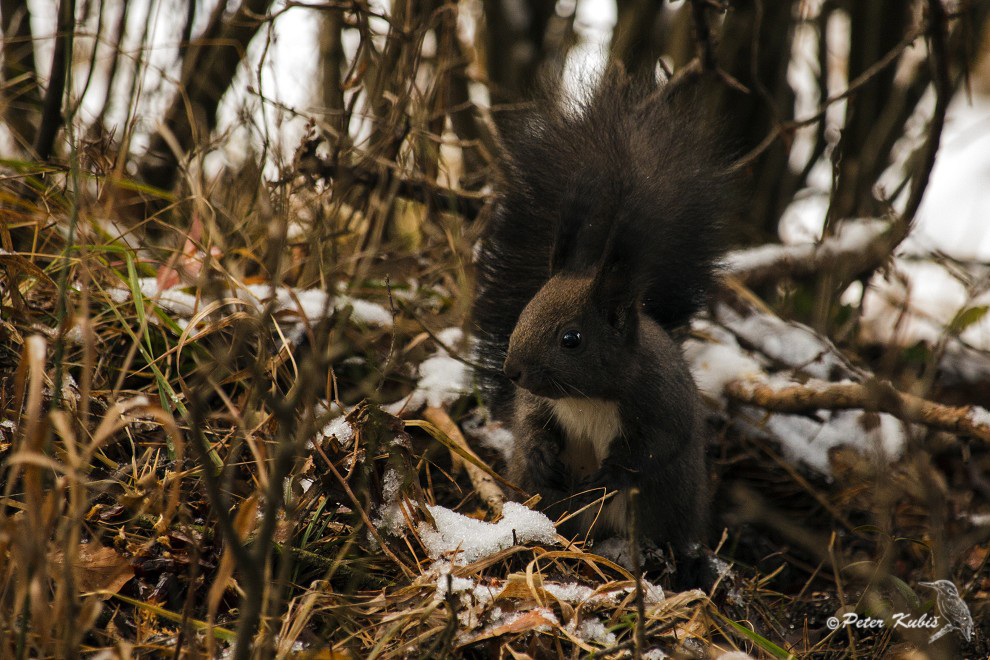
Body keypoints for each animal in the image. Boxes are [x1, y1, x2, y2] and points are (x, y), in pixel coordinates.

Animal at [468, 68, 732, 584]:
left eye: (571, 339)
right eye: (524, 312)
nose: (513, 372)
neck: (587, 397)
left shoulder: (661, 400)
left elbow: (653, 448)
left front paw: (605, 476)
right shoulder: (539, 401)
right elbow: (529, 423)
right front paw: (543, 454)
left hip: (668, 509)